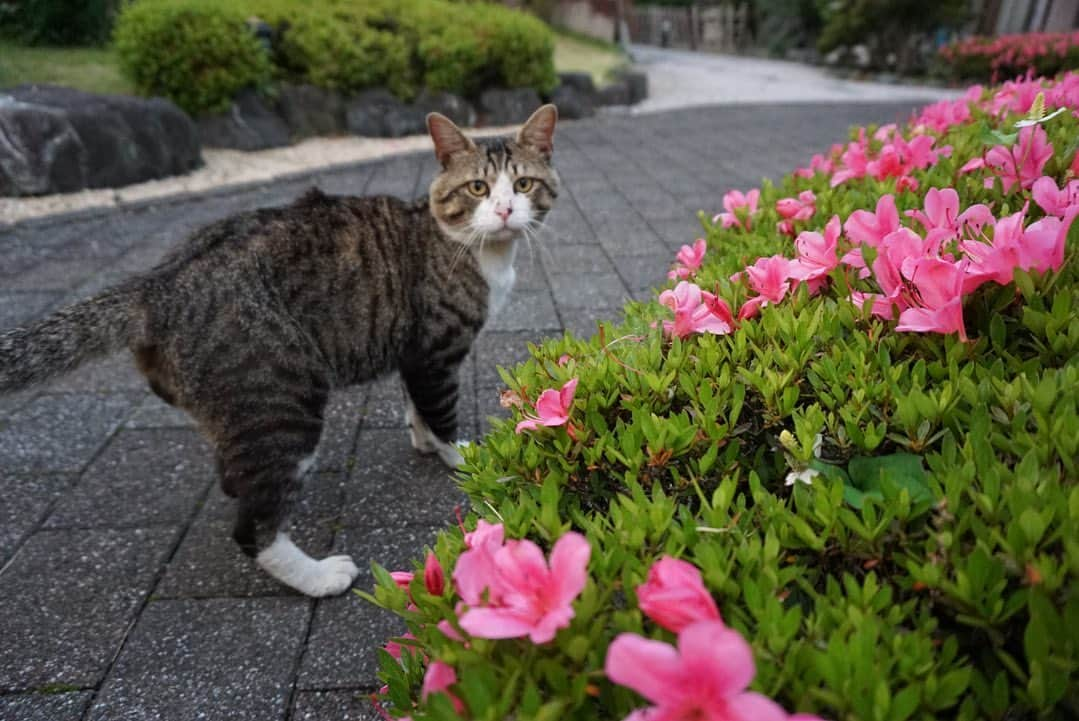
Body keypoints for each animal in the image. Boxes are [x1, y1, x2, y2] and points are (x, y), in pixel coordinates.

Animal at [2, 102, 565, 595]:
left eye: (523, 184)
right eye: (477, 187)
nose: (505, 210)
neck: (474, 249)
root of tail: (160, 284)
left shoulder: (413, 353)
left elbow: (417, 406)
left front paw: (423, 440)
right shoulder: (436, 350)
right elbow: (442, 409)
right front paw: (465, 458)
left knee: (236, 476)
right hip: (281, 399)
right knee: (252, 524)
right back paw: (317, 576)